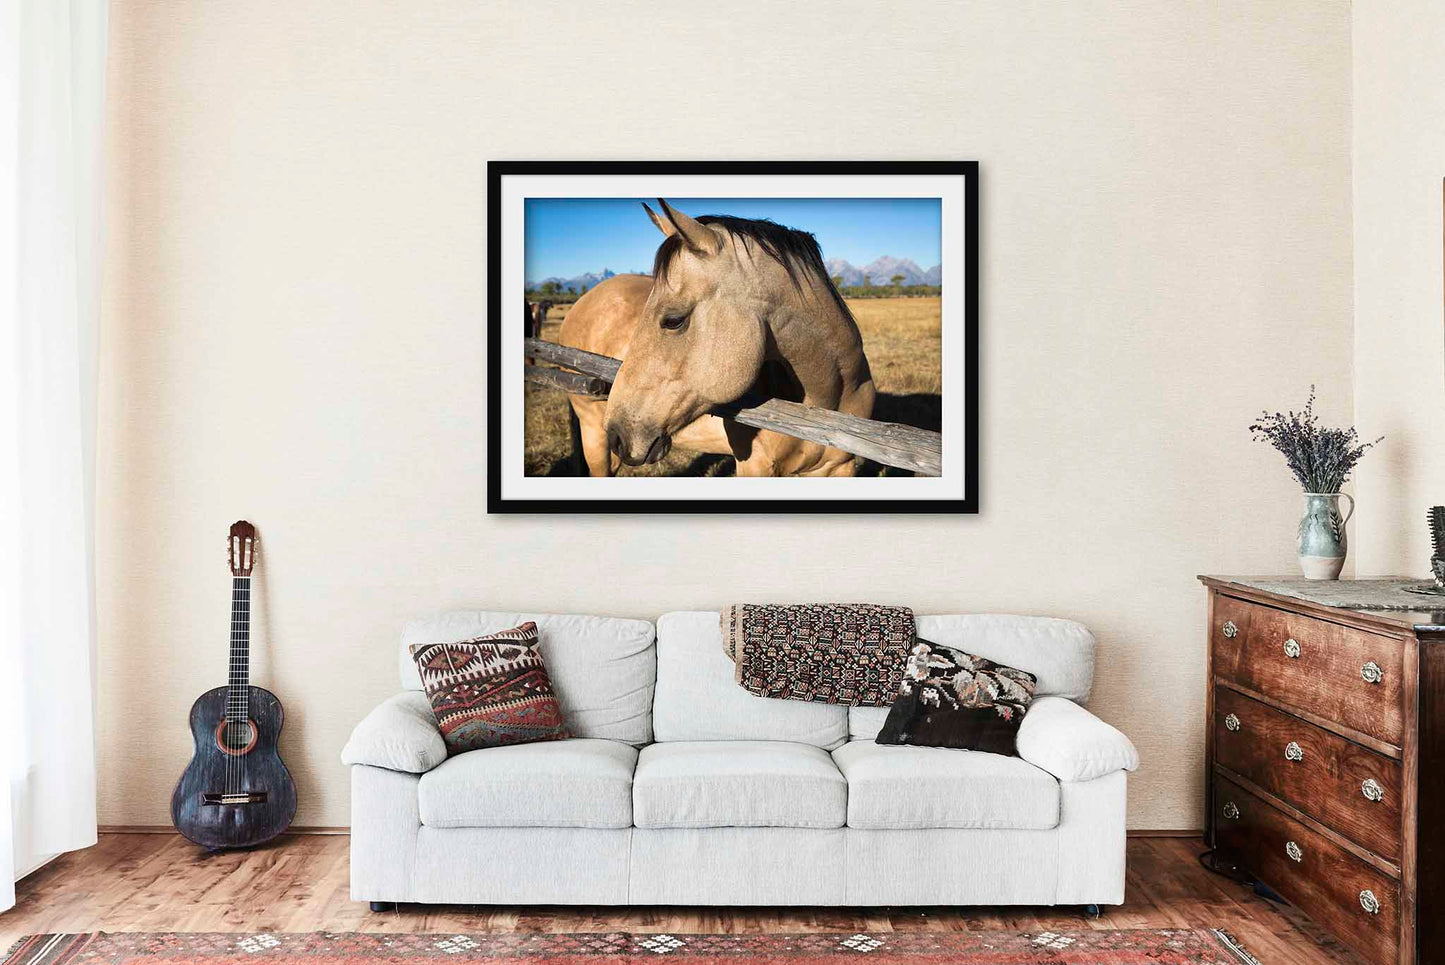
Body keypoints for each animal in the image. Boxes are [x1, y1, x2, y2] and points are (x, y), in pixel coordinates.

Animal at [557, 200, 875, 477]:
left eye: (673, 320)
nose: (617, 434)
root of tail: (581, 303)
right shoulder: (754, 467)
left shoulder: (838, 468)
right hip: (593, 435)